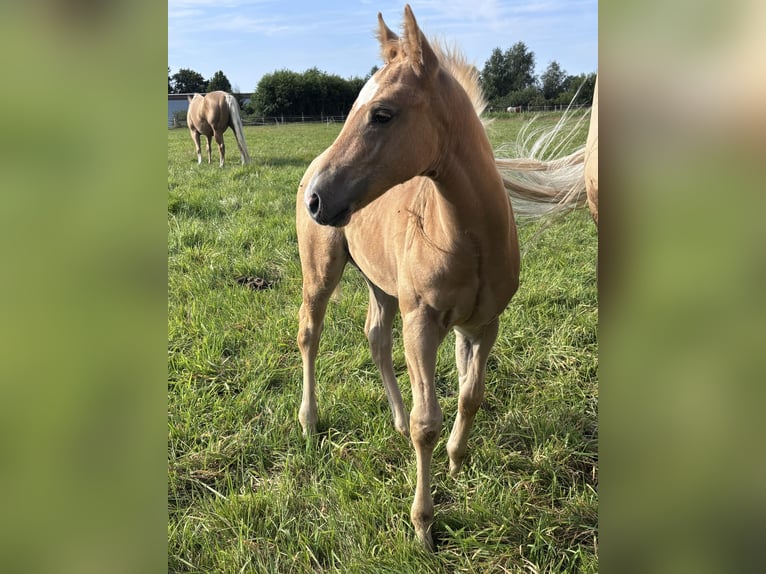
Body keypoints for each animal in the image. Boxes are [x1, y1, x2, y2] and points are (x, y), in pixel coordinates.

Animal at [296, 5, 593, 549]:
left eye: (382, 113)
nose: (317, 199)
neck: (465, 235)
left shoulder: (482, 323)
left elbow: (470, 395)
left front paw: (456, 462)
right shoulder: (423, 321)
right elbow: (426, 422)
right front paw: (423, 526)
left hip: (381, 283)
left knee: (375, 337)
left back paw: (391, 419)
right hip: (321, 272)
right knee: (310, 333)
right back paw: (309, 422)